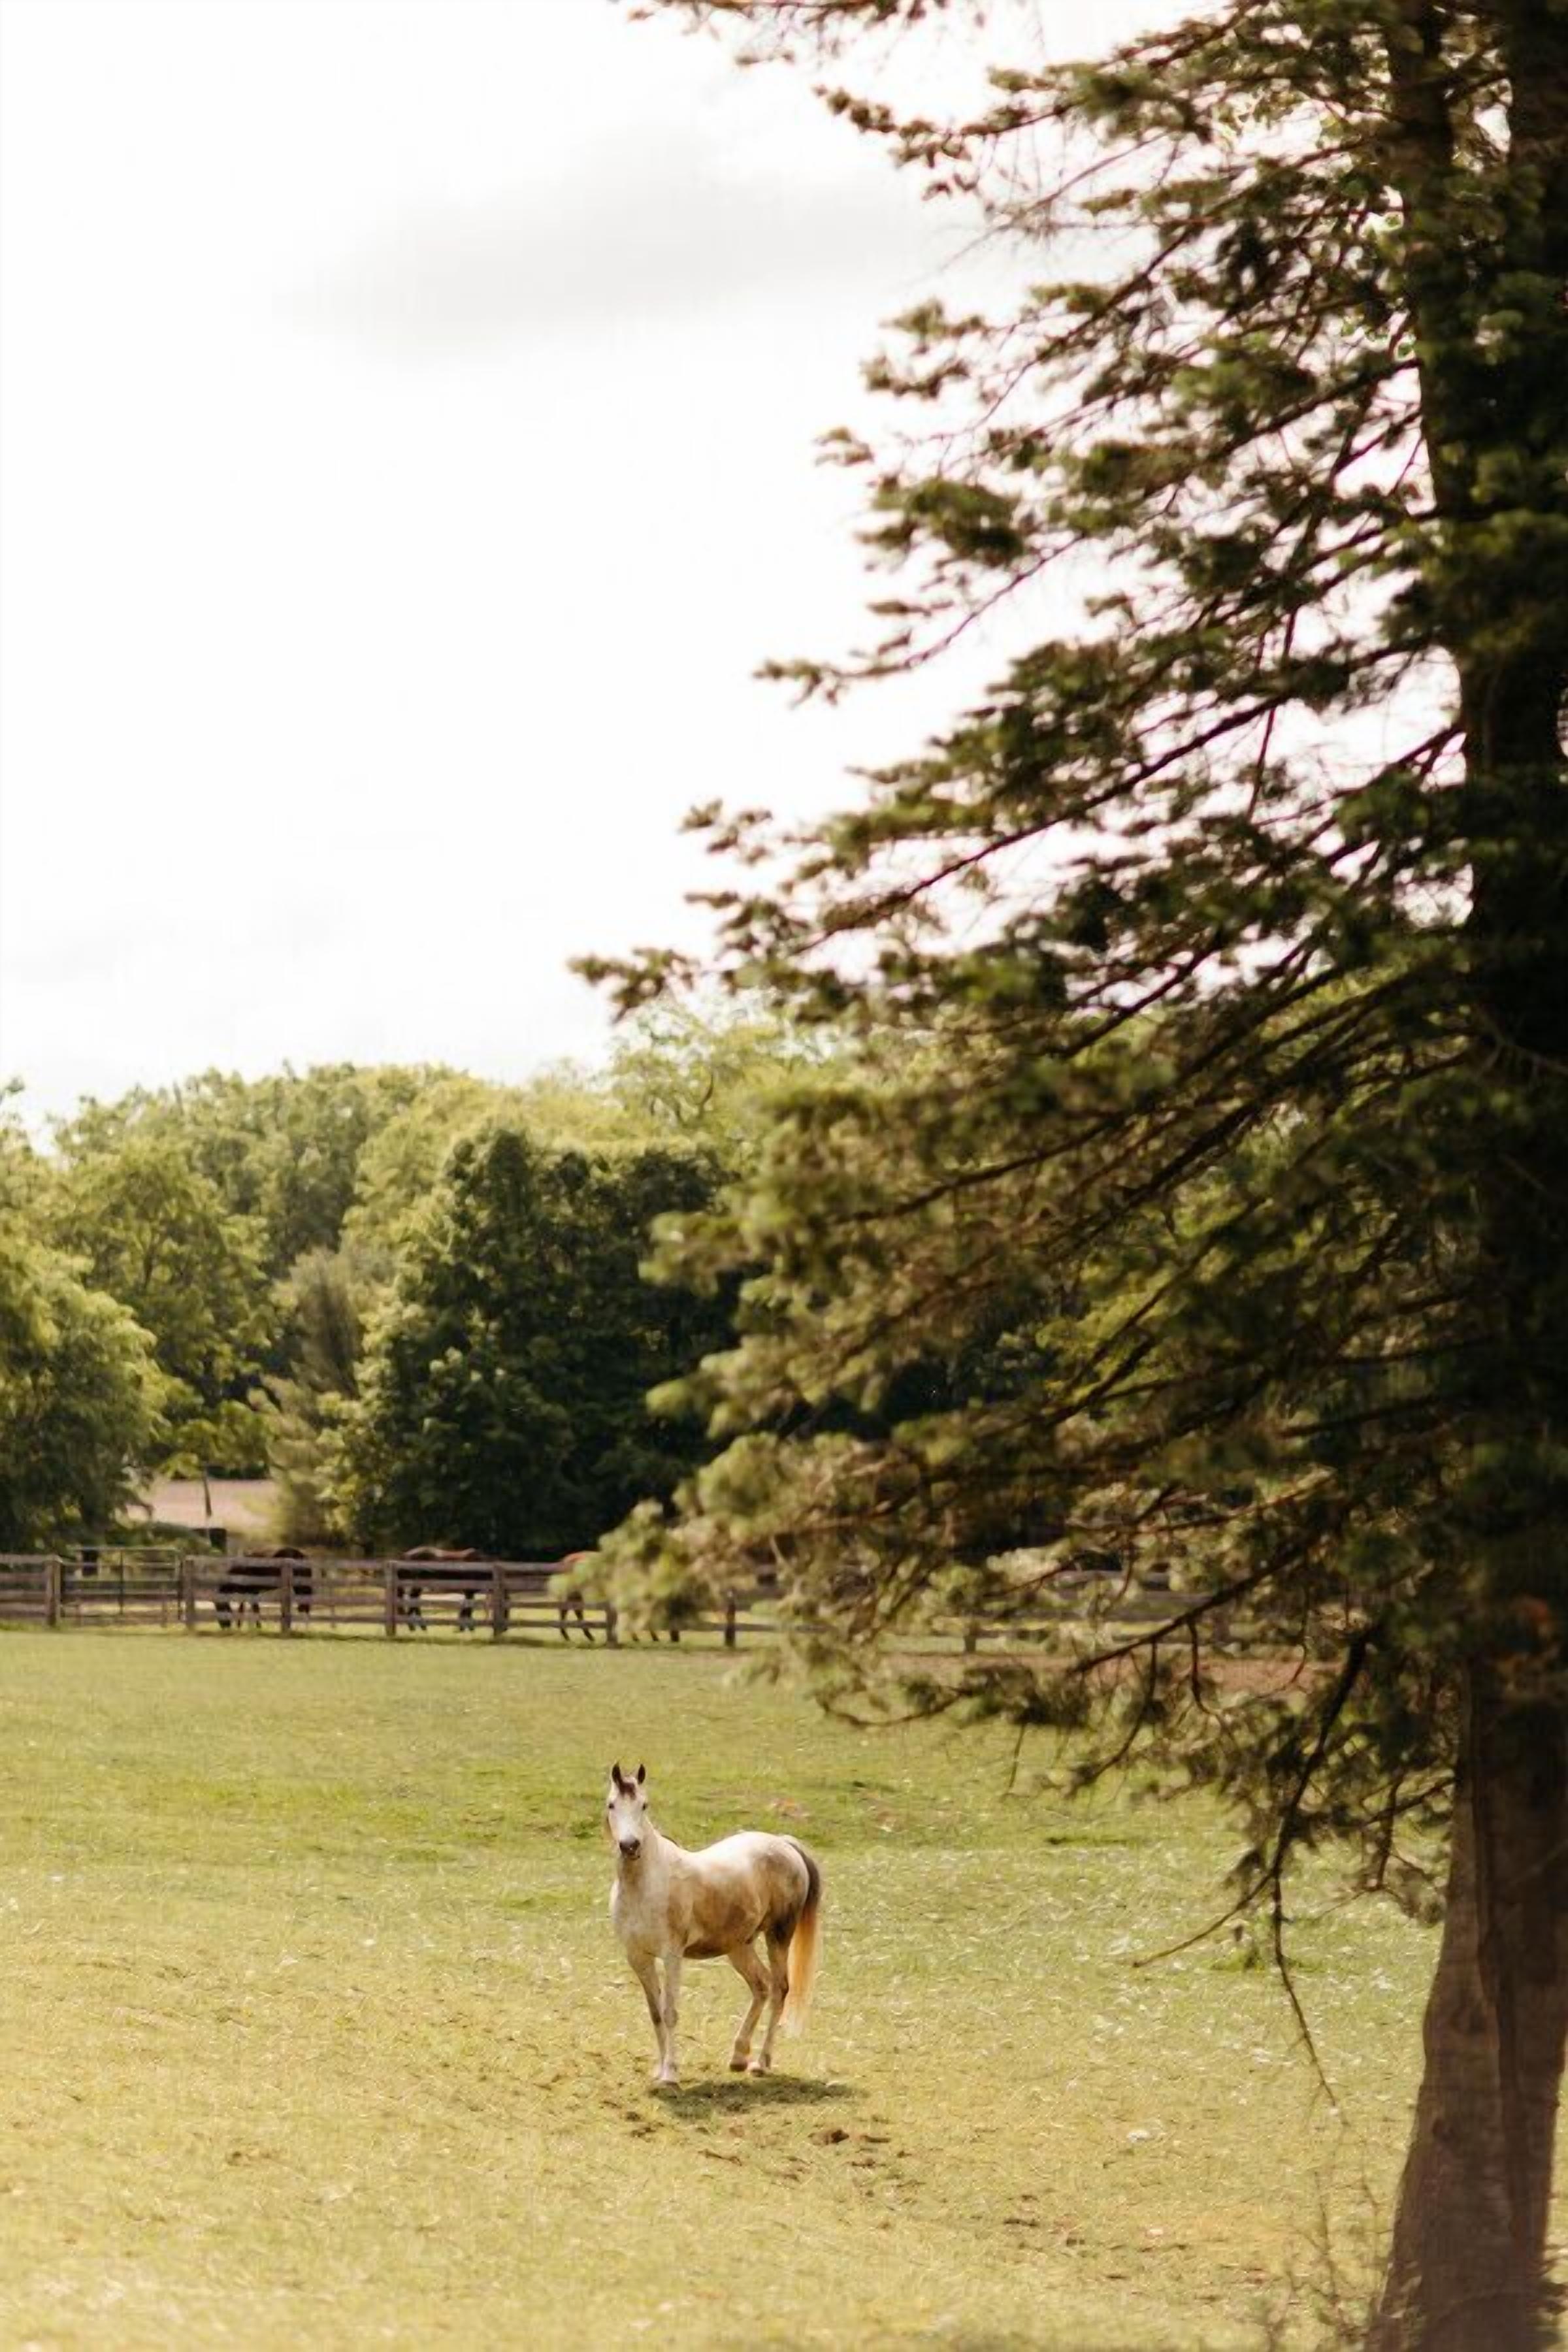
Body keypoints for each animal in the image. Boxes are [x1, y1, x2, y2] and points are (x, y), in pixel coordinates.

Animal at [396, 1547, 488, 1632]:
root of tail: (406, 1555)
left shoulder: (468, 1593)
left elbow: (465, 1610)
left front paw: (462, 1628)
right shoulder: (469, 1592)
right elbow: (468, 1610)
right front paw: (466, 1628)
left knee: (415, 1602)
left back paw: (420, 1627)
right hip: (418, 1586)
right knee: (414, 1602)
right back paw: (413, 1626)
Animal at [604, 1762, 822, 2088]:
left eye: (644, 1805)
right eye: (611, 1805)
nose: (630, 1846)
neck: (646, 1884)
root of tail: (785, 1844)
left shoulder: (672, 1955)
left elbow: (670, 2012)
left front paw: (671, 2074)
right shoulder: (638, 1957)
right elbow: (655, 2013)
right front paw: (659, 2070)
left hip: (779, 1935)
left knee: (780, 1989)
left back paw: (761, 2063)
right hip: (739, 1946)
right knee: (761, 1986)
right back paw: (738, 2057)